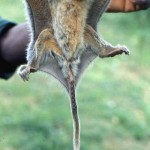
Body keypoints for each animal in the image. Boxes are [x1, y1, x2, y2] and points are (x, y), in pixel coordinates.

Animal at [18, 0, 129, 149]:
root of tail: (69, 64)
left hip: (84, 33)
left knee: (89, 33)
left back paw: (109, 51)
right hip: (48, 39)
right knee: (44, 35)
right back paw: (31, 67)